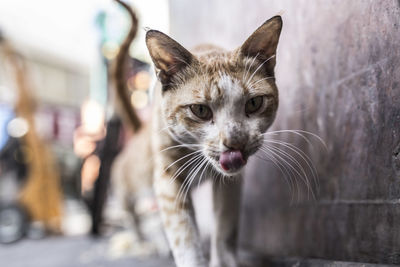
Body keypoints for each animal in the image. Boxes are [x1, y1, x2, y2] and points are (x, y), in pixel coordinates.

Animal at [112, 1, 282, 266]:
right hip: (129, 182)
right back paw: (144, 241)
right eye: (200, 110)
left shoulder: (230, 182)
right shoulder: (167, 178)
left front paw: (226, 261)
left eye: (254, 103)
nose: (236, 141)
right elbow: (184, 234)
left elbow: (225, 227)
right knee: (131, 213)